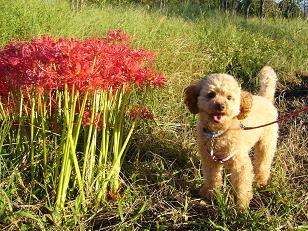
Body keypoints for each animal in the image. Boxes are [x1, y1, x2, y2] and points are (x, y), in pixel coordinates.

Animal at [185, 66, 280, 208]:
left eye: (229, 97)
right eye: (211, 94)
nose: (221, 106)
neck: (219, 133)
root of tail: (266, 99)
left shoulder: (241, 164)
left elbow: (242, 186)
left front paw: (241, 206)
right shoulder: (209, 160)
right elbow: (212, 178)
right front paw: (209, 193)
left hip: (267, 141)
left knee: (263, 161)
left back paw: (260, 181)